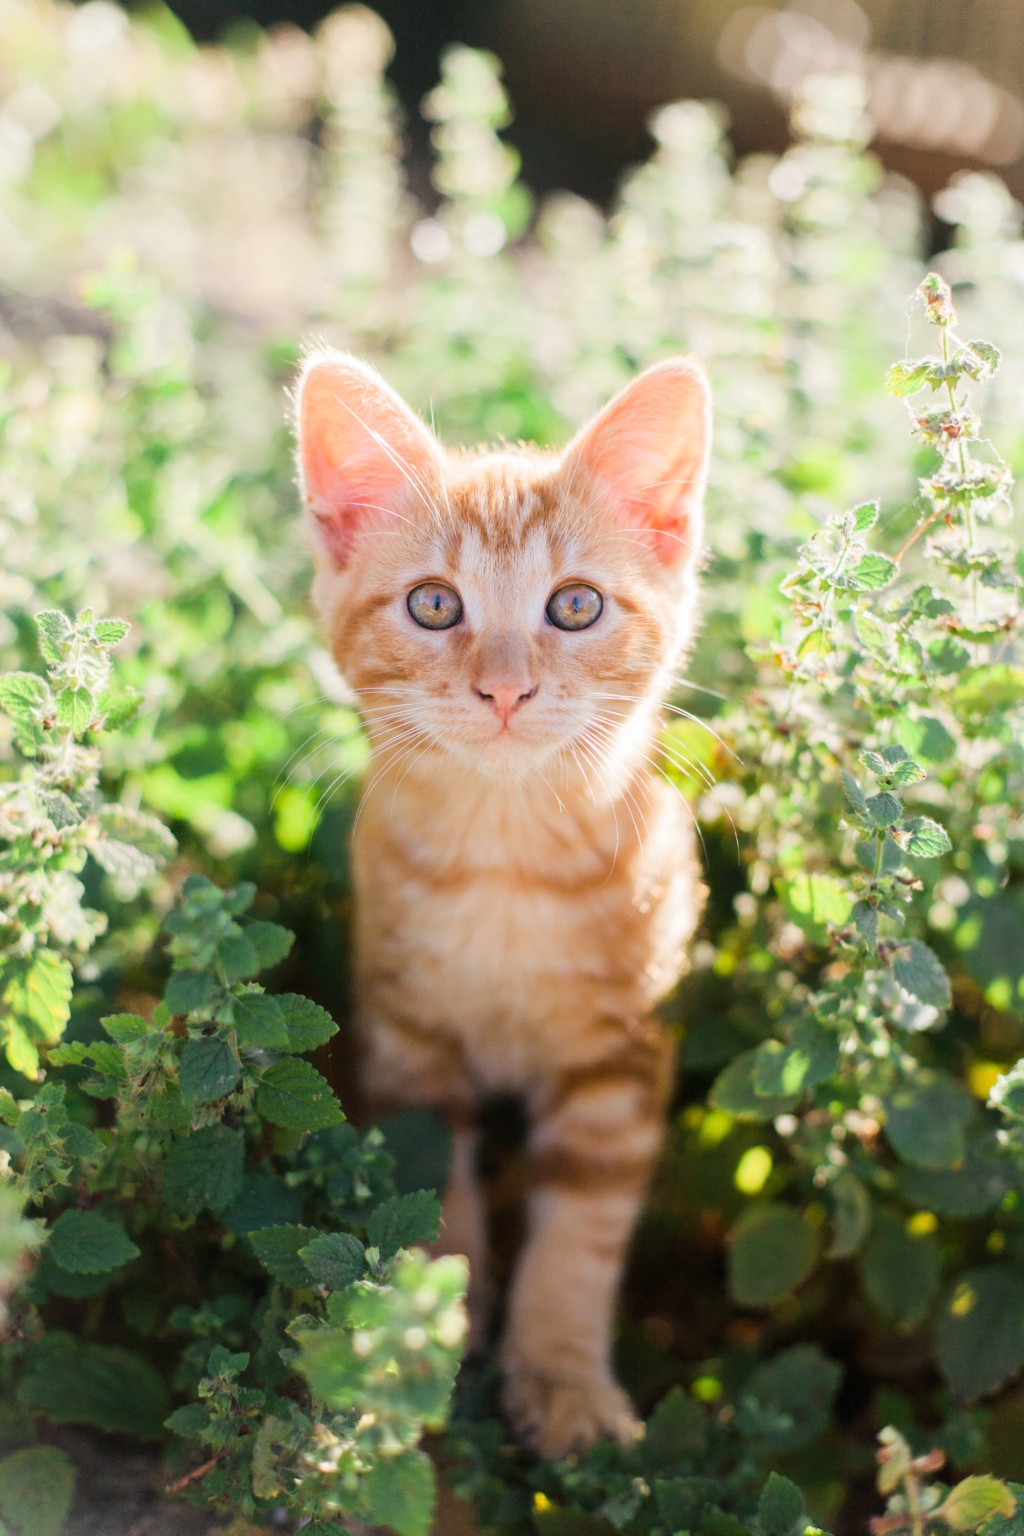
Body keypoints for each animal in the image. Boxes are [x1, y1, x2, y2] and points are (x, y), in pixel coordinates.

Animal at [296, 353, 712, 1456]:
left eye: (574, 607)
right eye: (435, 606)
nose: (505, 691)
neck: (506, 863)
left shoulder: (624, 1050)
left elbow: (581, 1230)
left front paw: (563, 1379)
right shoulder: (406, 1040)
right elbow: (433, 1197)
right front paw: (421, 1347)